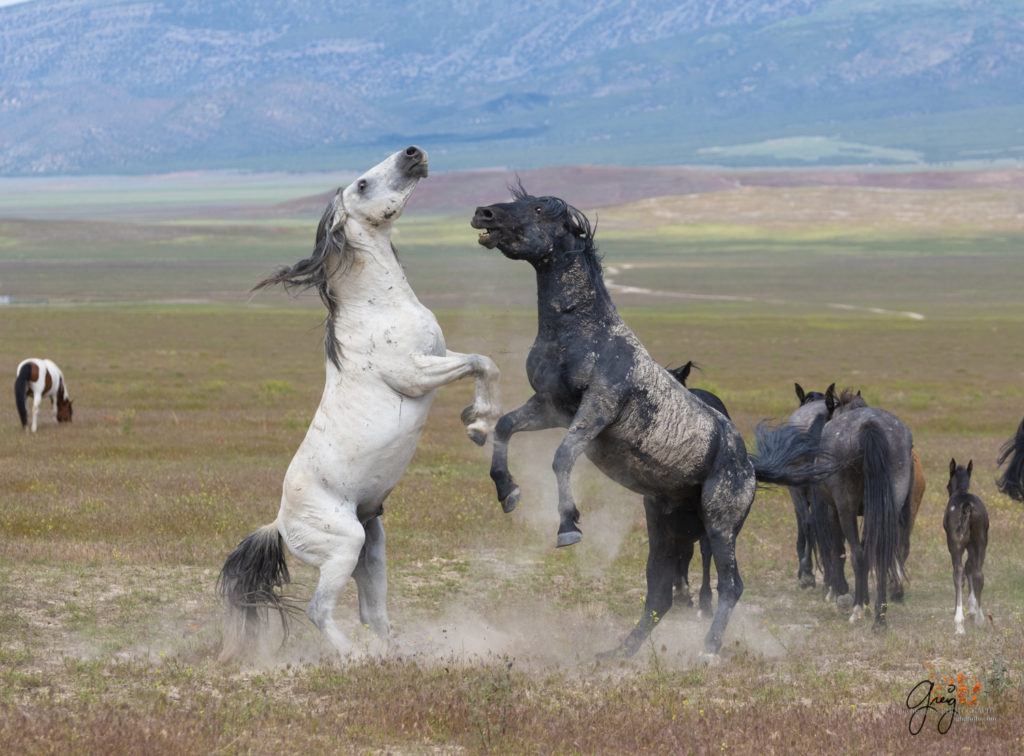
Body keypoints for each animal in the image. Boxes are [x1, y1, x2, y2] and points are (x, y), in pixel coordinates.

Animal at [220, 147, 499, 659]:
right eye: (363, 184)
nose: (413, 153)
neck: (379, 306)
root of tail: (281, 524)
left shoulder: (437, 355)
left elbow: (482, 362)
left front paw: (477, 420)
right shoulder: (415, 374)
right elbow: (481, 362)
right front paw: (478, 425)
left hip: (373, 546)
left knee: (374, 613)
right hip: (344, 546)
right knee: (318, 610)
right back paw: (351, 657)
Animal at [473, 187, 831, 655]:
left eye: (536, 207)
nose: (483, 213)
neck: (583, 331)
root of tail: (750, 465)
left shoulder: (598, 407)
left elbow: (562, 456)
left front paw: (568, 526)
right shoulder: (550, 405)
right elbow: (504, 428)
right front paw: (508, 493)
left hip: (720, 523)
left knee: (731, 585)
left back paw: (708, 649)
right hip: (666, 528)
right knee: (660, 592)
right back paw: (618, 654)